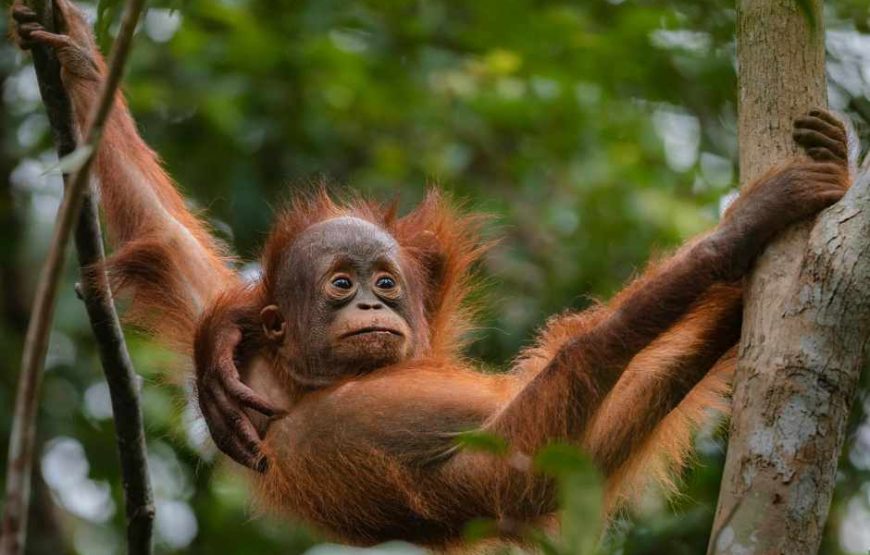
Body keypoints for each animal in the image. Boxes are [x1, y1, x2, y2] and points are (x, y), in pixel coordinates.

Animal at [10, 0, 855, 548]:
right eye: (341, 284)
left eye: (384, 282)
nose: (373, 308)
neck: (299, 378)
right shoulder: (346, 426)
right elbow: (518, 455)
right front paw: (741, 229)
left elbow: (159, 231)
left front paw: (78, 53)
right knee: (585, 364)